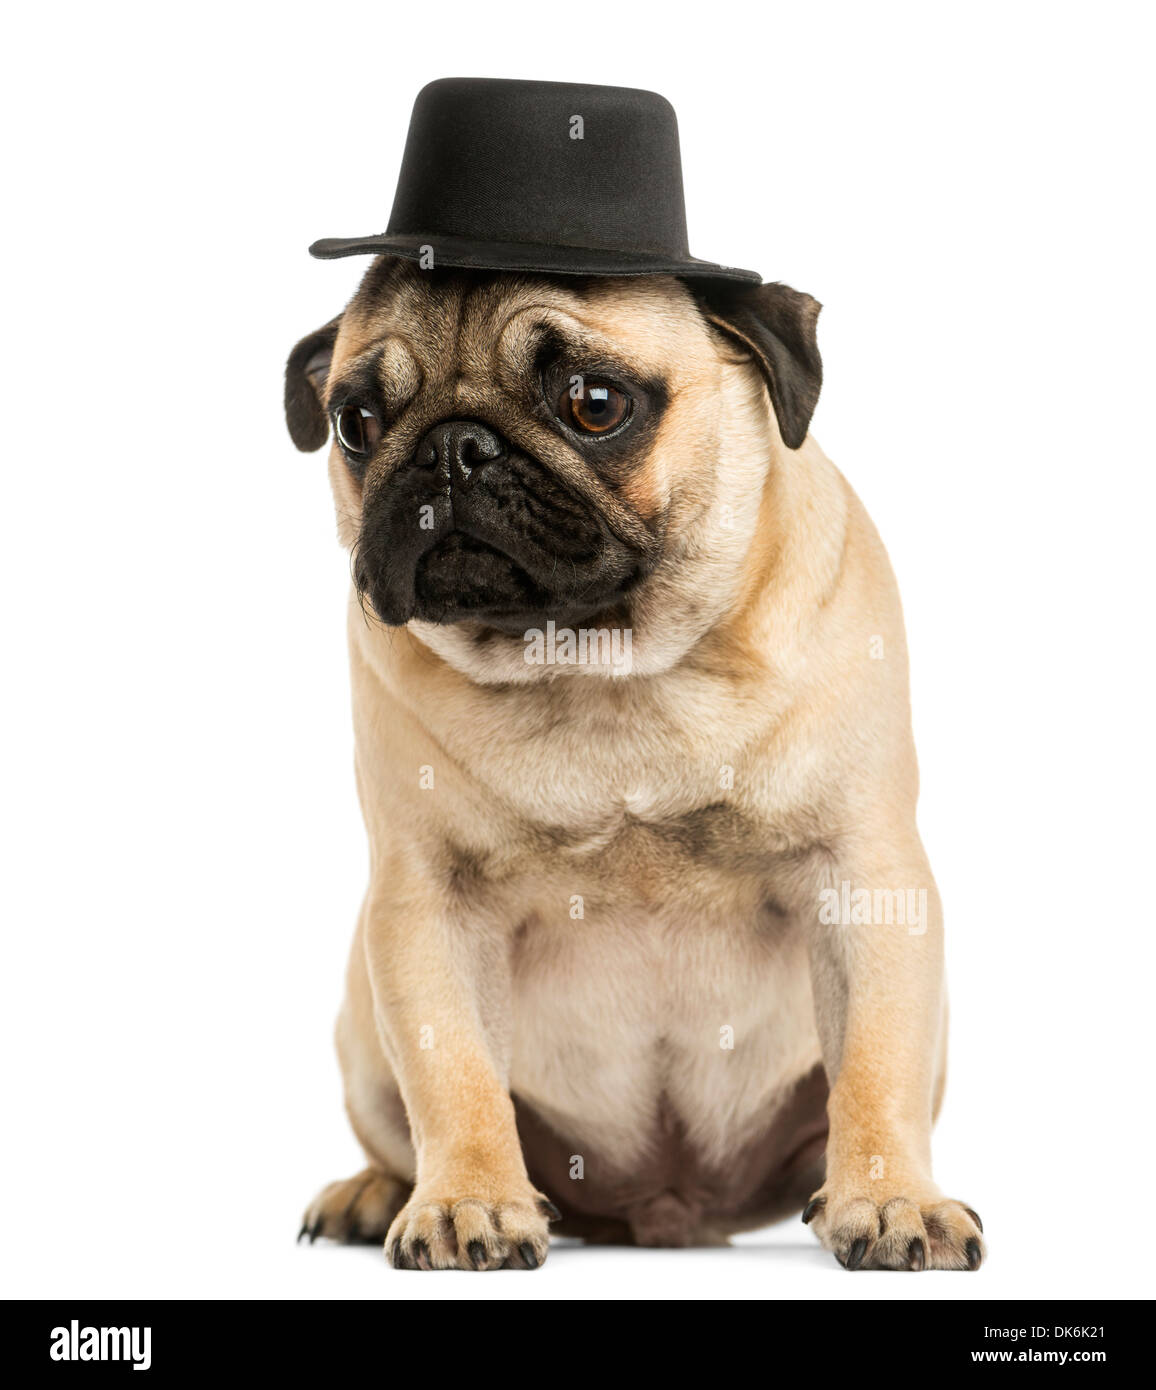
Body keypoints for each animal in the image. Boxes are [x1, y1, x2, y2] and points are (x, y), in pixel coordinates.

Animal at [284, 258, 978, 1273]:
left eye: (595, 403)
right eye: (356, 425)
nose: (452, 448)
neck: (599, 667)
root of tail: (664, 1207)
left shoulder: (862, 877)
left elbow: (876, 1061)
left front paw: (890, 1200)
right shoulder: (428, 903)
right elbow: (453, 1073)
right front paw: (468, 1201)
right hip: (363, 1037)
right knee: (400, 1120)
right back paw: (376, 1192)